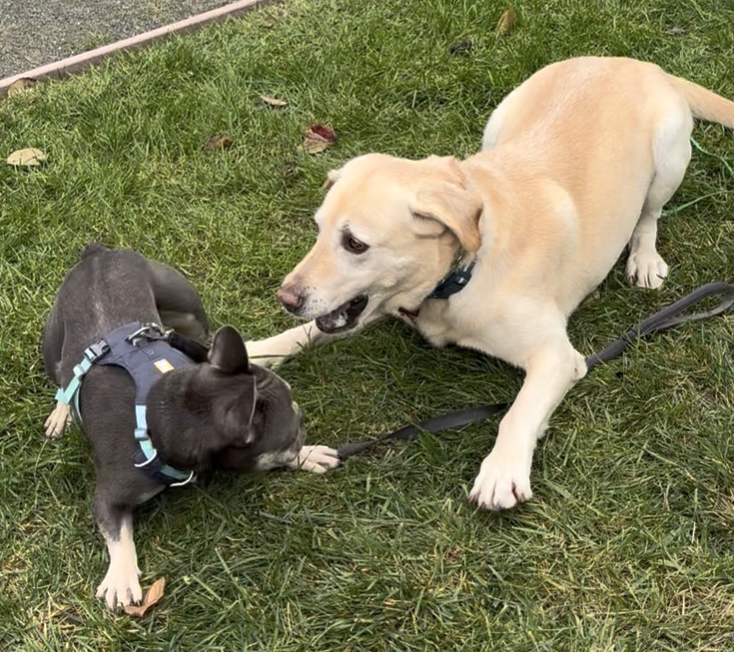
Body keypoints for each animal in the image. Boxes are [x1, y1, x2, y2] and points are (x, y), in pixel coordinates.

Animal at [42, 243, 339, 609]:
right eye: (294, 426)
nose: (302, 433)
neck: (163, 410)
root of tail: (99, 254)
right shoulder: (110, 495)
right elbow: (118, 534)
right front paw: (121, 576)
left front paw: (309, 454)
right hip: (54, 342)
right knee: (64, 378)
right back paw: (62, 412)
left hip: (191, 316)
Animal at [245, 57, 734, 511]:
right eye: (318, 229)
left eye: (354, 243)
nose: (286, 297)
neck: (461, 272)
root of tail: (635, 63)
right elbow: (307, 331)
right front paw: (259, 350)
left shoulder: (558, 357)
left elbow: (515, 413)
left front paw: (502, 470)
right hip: (499, 120)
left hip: (669, 159)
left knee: (649, 215)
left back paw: (644, 257)